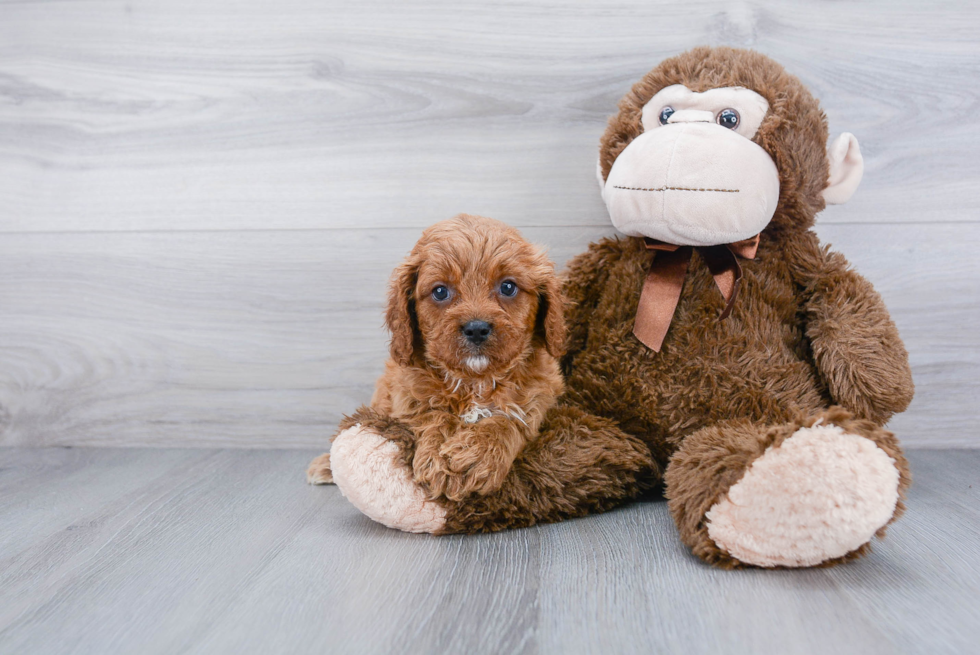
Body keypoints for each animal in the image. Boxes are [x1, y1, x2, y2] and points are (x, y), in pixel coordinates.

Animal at [306, 215, 568, 502]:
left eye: (508, 287)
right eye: (440, 292)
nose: (476, 328)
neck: (473, 381)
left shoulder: (538, 395)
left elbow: (509, 420)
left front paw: (475, 455)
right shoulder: (407, 396)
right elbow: (432, 415)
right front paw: (440, 454)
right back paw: (325, 464)